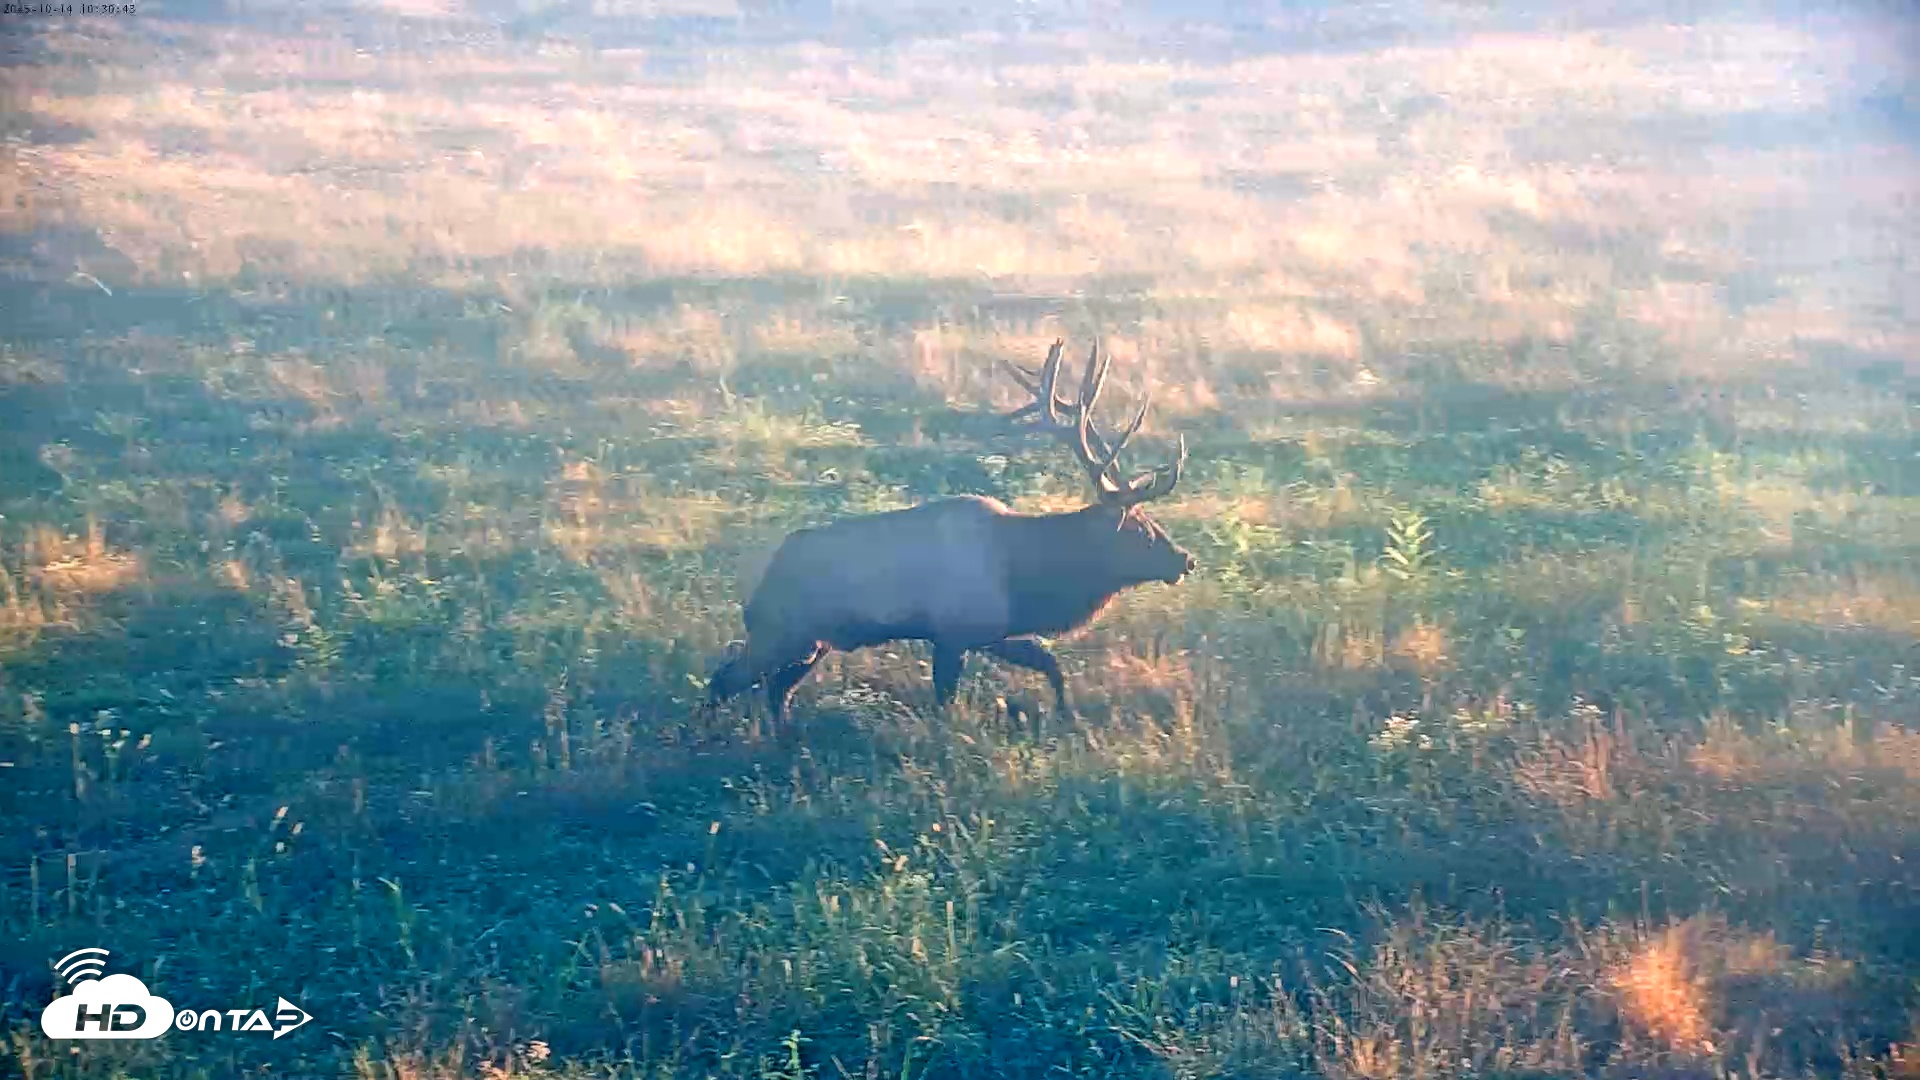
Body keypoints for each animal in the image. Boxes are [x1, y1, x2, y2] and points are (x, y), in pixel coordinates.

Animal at [704, 339, 1193, 724]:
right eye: (1141, 528)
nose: (1185, 559)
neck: (1029, 579)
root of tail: (757, 591)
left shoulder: (993, 631)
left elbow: (1051, 665)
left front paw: (1066, 717)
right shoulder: (954, 634)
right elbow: (945, 702)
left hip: (812, 644)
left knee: (775, 692)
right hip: (782, 632)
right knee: (723, 681)